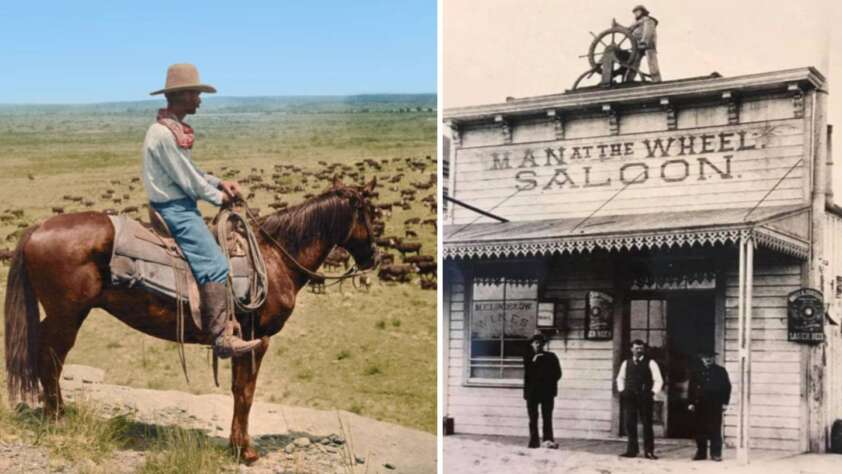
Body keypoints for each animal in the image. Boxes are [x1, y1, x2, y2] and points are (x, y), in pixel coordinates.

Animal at [3, 178, 378, 462]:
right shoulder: (257, 340)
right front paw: (244, 451)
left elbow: (239, 390)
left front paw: (237, 446)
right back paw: (57, 419)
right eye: (369, 214)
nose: (373, 257)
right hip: (67, 316)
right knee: (51, 359)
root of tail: (38, 227)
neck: (274, 259)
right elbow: (246, 393)